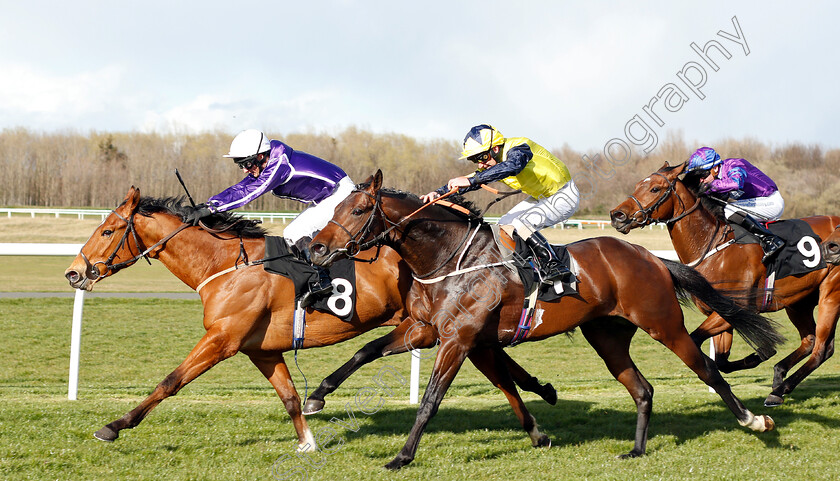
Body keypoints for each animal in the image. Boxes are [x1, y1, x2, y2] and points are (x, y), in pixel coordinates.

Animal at [64, 187, 556, 446]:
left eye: (107, 230)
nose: (74, 272)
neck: (225, 265)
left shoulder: (222, 339)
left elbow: (170, 381)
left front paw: (114, 426)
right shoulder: (259, 348)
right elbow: (288, 397)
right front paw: (308, 442)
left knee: (491, 360)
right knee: (495, 359)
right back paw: (542, 392)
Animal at [308, 170, 780, 468]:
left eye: (357, 211)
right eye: (337, 208)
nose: (315, 248)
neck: (451, 258)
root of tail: (651, 257)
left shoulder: (458, 339)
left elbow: (431, 400)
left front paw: (403, 456)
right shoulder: (427, 330)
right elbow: (366, 351)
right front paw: (318, 395)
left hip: (663, 323)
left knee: (707, 370)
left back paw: (753, 420)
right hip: (607, 336)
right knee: (642, 389)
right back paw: (636, 450)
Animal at [612, 162, 840, 404]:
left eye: (655, 189)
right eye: (637, 185)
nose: (617, 215)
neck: (711, 247)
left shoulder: (735, 308)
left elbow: (696, 339)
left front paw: (759, 354)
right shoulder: (722, 312)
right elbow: (722, 360)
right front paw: (757, 356)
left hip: (830, 295)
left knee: (821, 349)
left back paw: (780, 389)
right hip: (799, 302)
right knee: (810, 340)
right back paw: (779, 377)